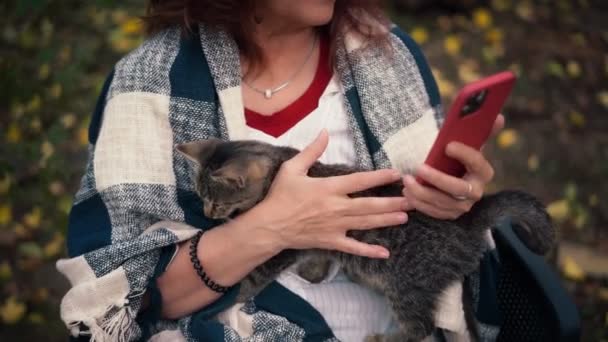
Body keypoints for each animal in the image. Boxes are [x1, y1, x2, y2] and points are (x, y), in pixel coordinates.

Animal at [177, 139, 556, 342]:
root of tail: (469, 218)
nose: (209, 213)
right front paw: (314, 273)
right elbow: (319, 257)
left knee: (422, 328)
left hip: (407, 286)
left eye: (216, 201)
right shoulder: (315, 239)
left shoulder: (283, 244)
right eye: (201, 196)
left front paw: (222, 306)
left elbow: (249, 282)